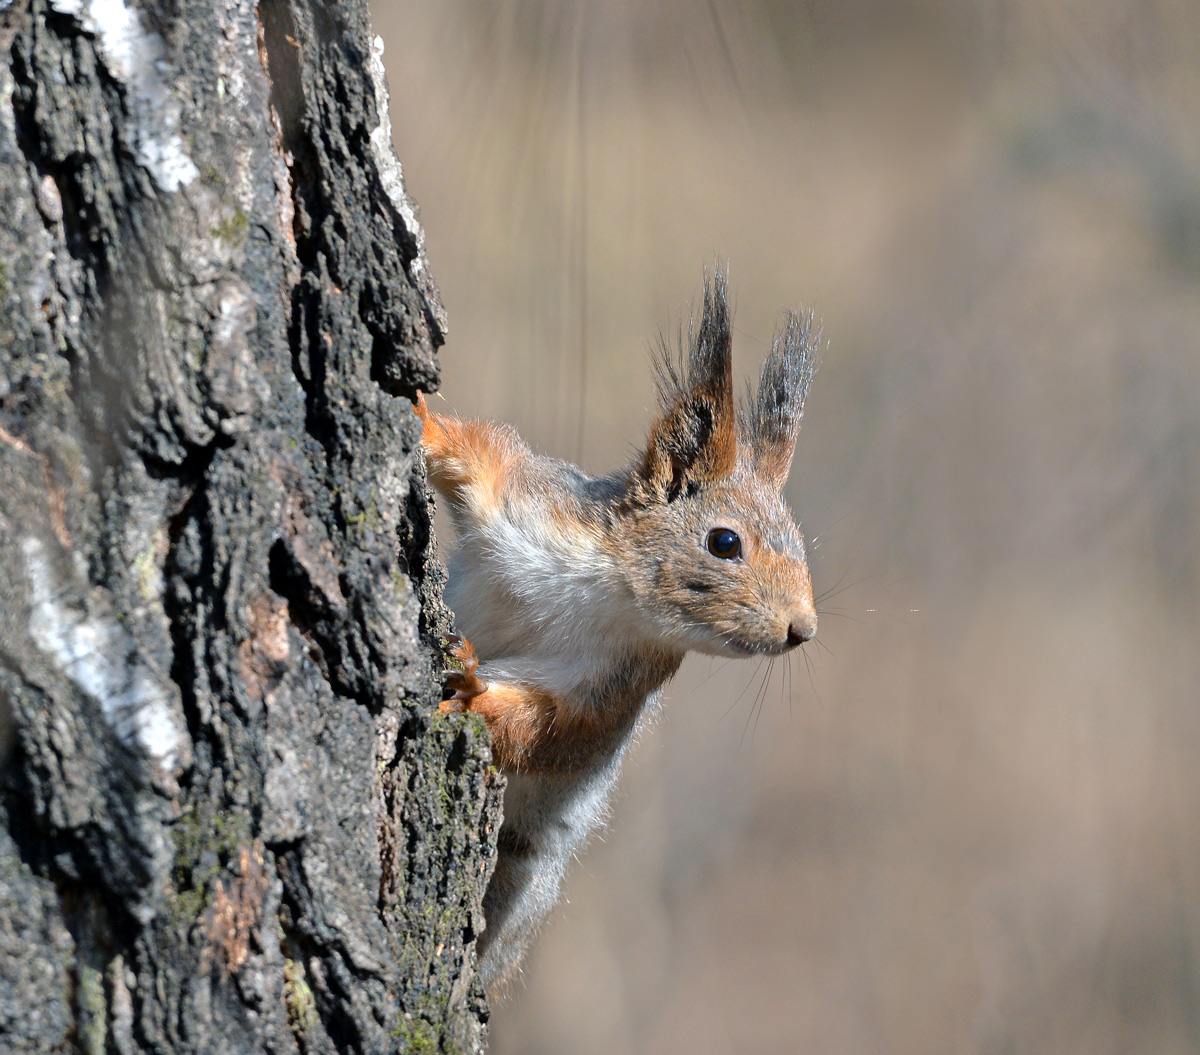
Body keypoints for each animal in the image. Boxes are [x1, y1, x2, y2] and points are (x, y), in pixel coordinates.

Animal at [417, 266, 820, 988]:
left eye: (802, 545)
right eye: (724, 542)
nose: (803, 627)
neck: (608, 593)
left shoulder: (612, 683)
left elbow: (552, 728)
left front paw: (473, 695)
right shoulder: (528, 503)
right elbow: (480, 453)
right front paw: (418, 415)